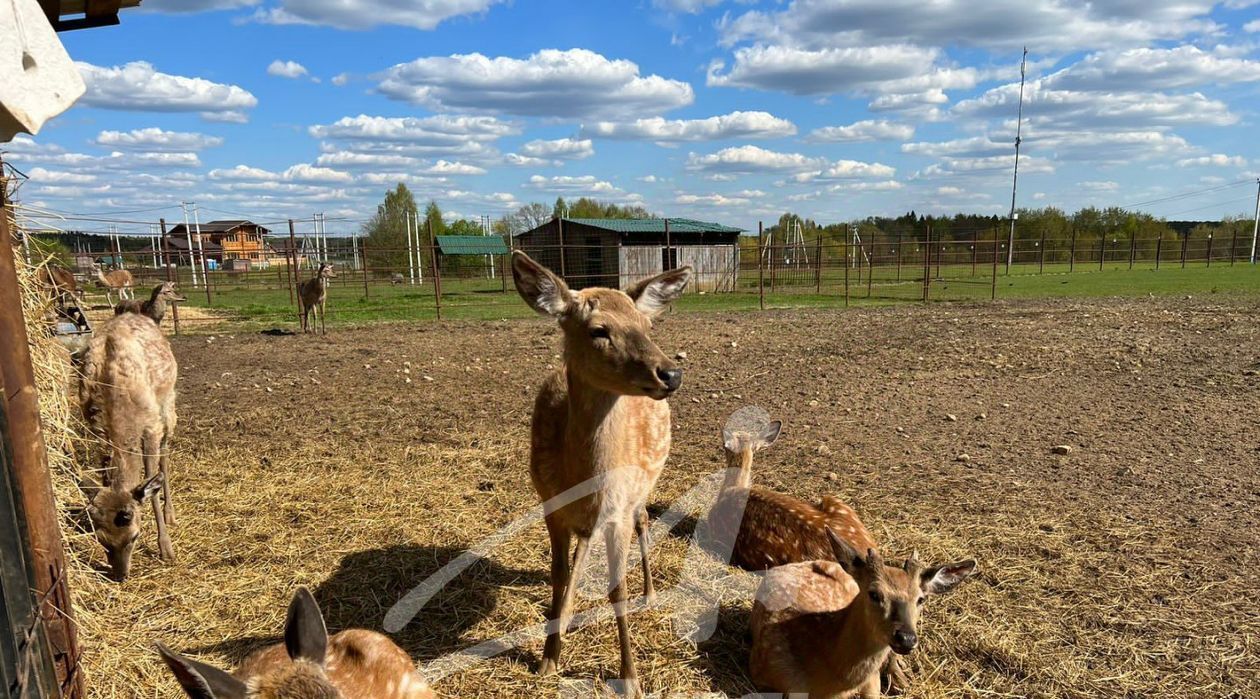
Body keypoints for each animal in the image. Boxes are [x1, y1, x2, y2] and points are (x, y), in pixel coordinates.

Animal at [78, 312, 177, 579]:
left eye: (135, 536)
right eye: (102, 540)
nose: (120, 576)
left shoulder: (151, 426)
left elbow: (152, 480)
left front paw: (166, 549)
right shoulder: (96, 431)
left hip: (168, 401)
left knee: (166, 453)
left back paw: (170, 514)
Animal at [509, 250, 690, 695]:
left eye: (646, 325)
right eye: (598, 330)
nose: (670, 372)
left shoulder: (618, 510)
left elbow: (617, 589)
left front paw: (631, 678)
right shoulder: (549, 506)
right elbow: (557, 575)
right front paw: (548, 658)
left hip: (643, 487)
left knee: (644, 521)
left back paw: (650, 594)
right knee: (582, 546)